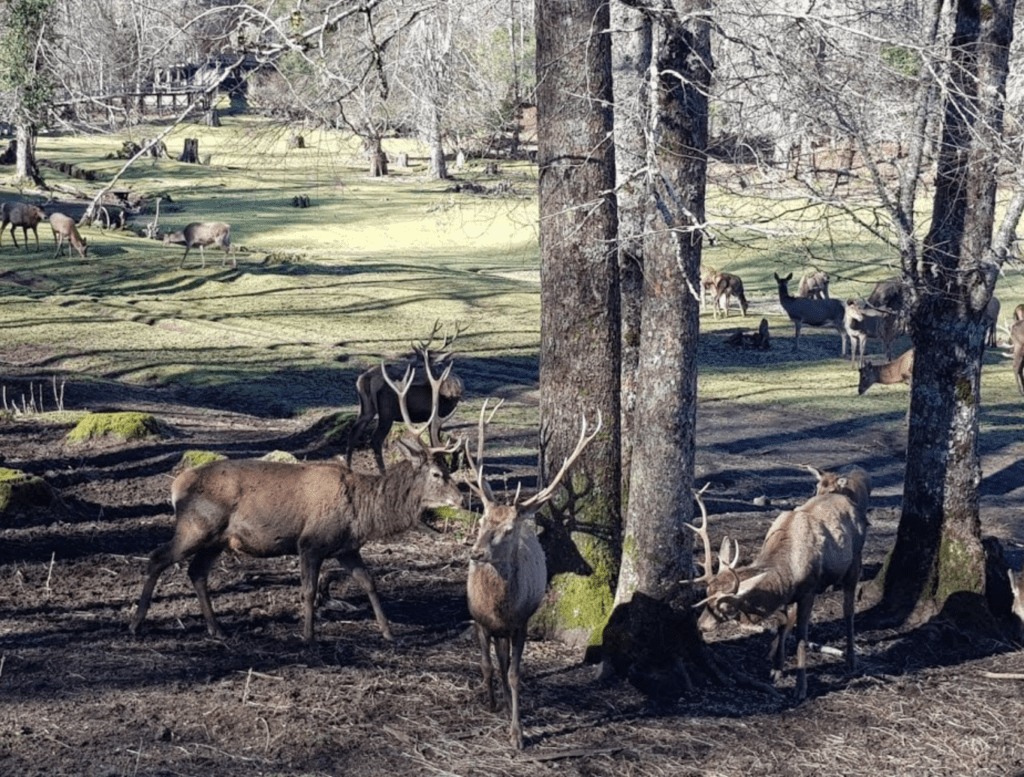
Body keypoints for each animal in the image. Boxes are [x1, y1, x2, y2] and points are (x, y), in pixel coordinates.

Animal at [126, 358, 460, 642]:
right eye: (436, 473)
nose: (459, 498)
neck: (362, 513)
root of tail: (176, 486)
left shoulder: (346, 548)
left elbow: (370, 583)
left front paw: (389, 632)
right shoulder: (309, 542)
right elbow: (309, 591)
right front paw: (308, 636)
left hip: (217, 539)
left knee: (196, 572)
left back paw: (216, 629)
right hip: (197, 526)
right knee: (157, 557)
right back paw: (137, 623)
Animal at [348, 321, 468, 475]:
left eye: (421, 364)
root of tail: (364, 379)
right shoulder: (434, 417)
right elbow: (434, 441)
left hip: (367, 408)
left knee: (354, 432)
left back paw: (348, 467)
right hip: (387, 413)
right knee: (375, 440)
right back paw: (383, 472)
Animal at [468, 397, 602, 749]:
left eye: (508, 529)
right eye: (482, 520)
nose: (476, 553)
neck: (498, 607)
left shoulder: (521, 622)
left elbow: (514, 673)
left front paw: (517, 732)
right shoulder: (477, 618)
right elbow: (486, 665)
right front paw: (490, 703)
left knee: (506, 662)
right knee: (496, 660)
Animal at [688, 468, 872, 704]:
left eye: (726, 606)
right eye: (707, 592)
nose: (700, 626)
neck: (789, 569)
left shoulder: (809, 591)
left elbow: (802, 637)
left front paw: (800, 688)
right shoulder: (786, 594)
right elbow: (783, 624)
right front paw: (776, 669)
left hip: (854, 563)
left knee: (848, 610)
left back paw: (851, 659)